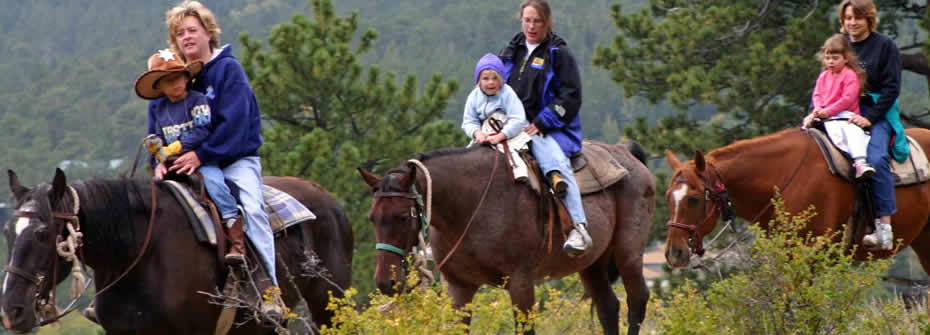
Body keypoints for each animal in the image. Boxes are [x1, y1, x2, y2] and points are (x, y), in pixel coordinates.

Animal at [0, 171, 354, 335]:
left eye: (43, 234)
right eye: (7, 232)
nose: (12, 310)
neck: (142, 256)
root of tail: (329, 199)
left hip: (329, 305)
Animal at [356, 140, 652, 334]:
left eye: (402, 217)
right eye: (372, 217)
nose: (385, 283)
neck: (472, 207)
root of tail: (627, 154)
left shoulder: (521, 284)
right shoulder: (459, 288)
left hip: (627, 253)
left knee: (637, 300)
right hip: (592, 264)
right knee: (608, 308)